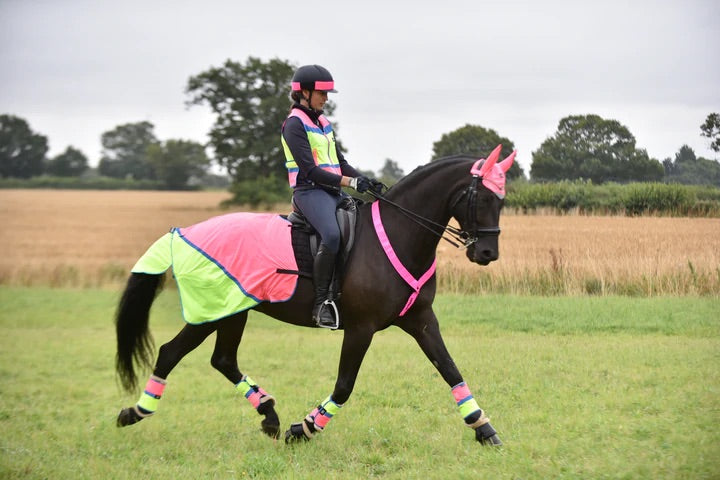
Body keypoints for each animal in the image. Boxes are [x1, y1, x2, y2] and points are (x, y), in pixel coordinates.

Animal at [115, 144, 516, 444]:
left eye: (502, 200)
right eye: (482, 198)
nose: (487, 253)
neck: (398, 234)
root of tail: (182, 232)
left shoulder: (420, 319)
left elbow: (449, 369)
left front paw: (484, 429)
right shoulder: (361, 328)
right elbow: (344, 385)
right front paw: (305, 428)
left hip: (234, 311)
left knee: (223, 360)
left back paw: (269, 415)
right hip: (213, 312)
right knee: (171, 353)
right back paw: (135, 412)